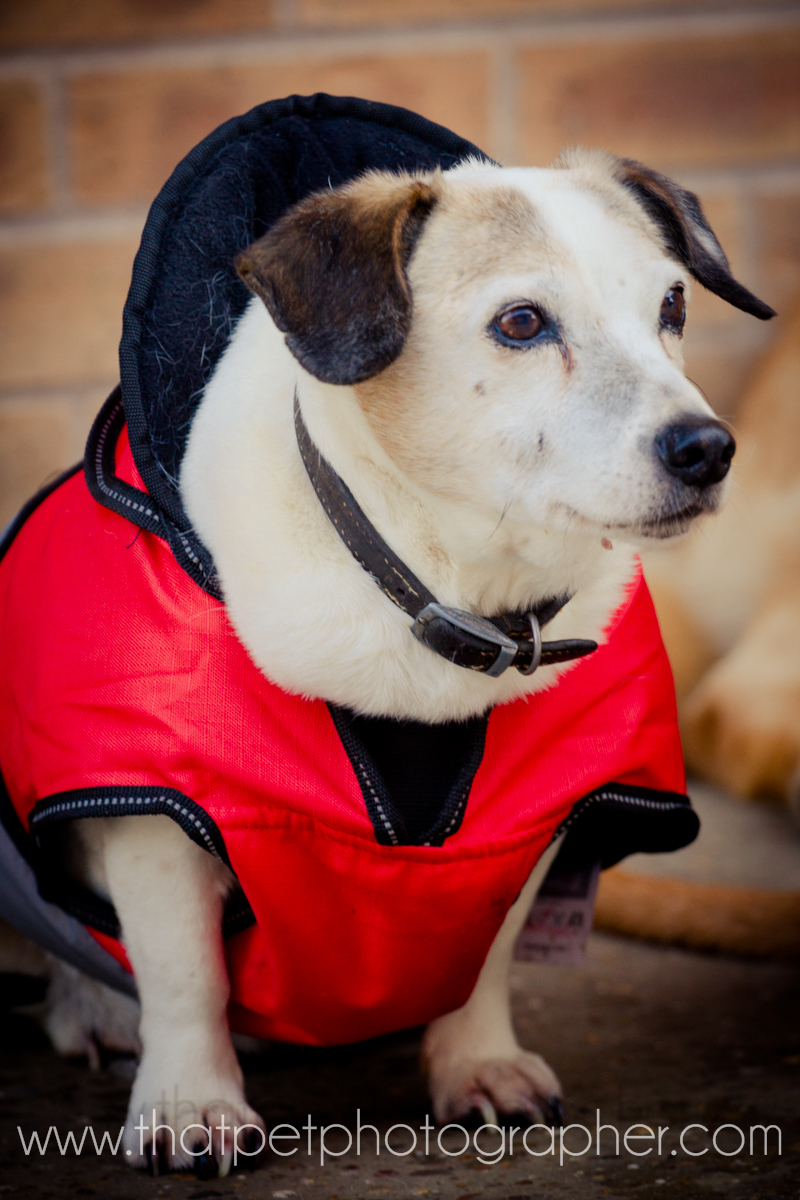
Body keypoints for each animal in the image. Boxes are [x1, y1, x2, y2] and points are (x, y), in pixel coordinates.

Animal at [0, 138, 774, 1177]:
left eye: (673, 307)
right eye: (521, 323)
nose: (707, 448)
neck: (440, 594)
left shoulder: (528, 828)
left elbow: (485, 955)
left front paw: (475, 1061)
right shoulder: (156, 819)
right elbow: (182, 974)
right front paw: (191, 1099)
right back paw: (93, 1008)